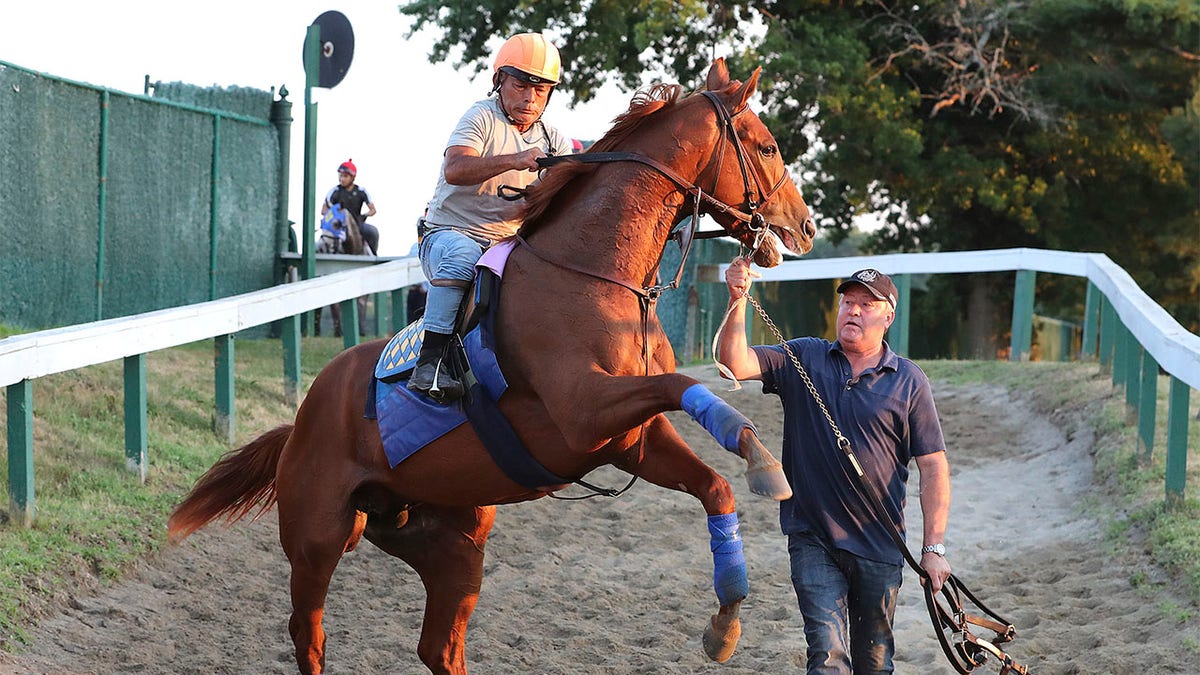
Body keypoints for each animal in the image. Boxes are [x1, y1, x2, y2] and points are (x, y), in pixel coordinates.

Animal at [169, 59, 820, 672]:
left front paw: (726, 622)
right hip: (318, 539)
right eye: (767, 146)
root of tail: (302, 419)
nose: (806, 226)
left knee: (439, 648)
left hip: (452, 539)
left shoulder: (629, 440)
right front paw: (755, 448)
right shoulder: (584, 412)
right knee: (310, 636)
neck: (592, 275)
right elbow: (686, 384)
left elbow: (715, 486)